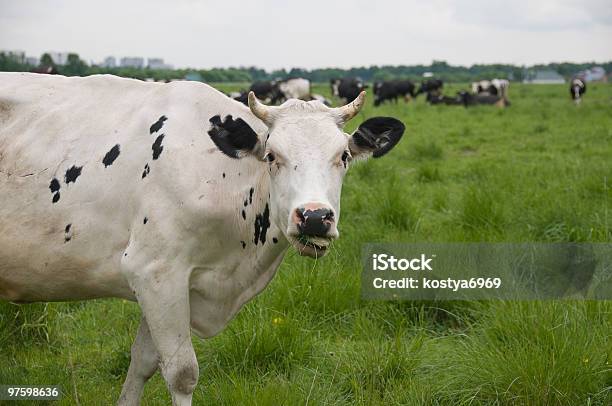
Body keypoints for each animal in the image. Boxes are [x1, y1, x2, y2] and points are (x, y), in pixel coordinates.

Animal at [0, 73, 406, 406]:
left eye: (344, 156)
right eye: (272, 155)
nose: (315, 217)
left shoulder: (174, 283)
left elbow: (143, 362)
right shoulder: (155, 271)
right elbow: (182, 372)